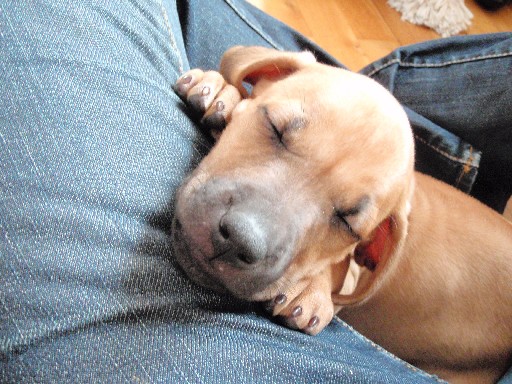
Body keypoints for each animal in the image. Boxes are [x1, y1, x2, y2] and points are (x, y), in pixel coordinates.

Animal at [172, 46, 512, 382]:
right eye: (275, 128)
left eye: (348, 223)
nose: (239, 241)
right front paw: (222, 93)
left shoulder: (352, 274)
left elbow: (336, 268)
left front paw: (313, 288)